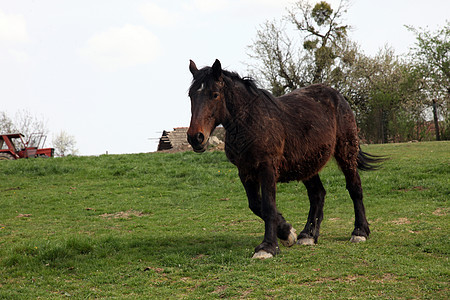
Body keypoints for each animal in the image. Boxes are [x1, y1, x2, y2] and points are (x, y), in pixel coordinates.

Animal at [186, 59, 384, 258]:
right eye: (190, 96)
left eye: (215, 94)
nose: (196, 138)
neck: (250, 122)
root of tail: (338, 96)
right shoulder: (245, 171)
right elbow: (256, 205)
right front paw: (287, 232)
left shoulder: (267, 168)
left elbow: (268, 206)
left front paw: (268, 247)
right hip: (307, 164)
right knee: (317, 194)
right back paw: (308, 235)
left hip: (346, 153)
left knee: (354, 188)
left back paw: (359, 232)